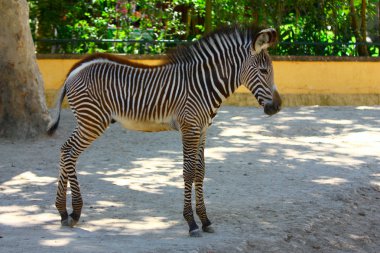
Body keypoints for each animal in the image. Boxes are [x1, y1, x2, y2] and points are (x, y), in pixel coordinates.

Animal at [46, 24, 280, 236]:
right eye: (263, 71)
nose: (277, 107)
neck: (204, 84)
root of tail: (75, 70)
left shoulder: (203, 130)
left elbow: (201, 172)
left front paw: (205, 220)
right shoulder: (190, 128)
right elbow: (188, 172)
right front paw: (191, 223)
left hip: (88, 121)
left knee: (64, 150)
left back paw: (63, 212)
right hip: (92, 121)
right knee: (70, 153)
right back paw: (75, 212)